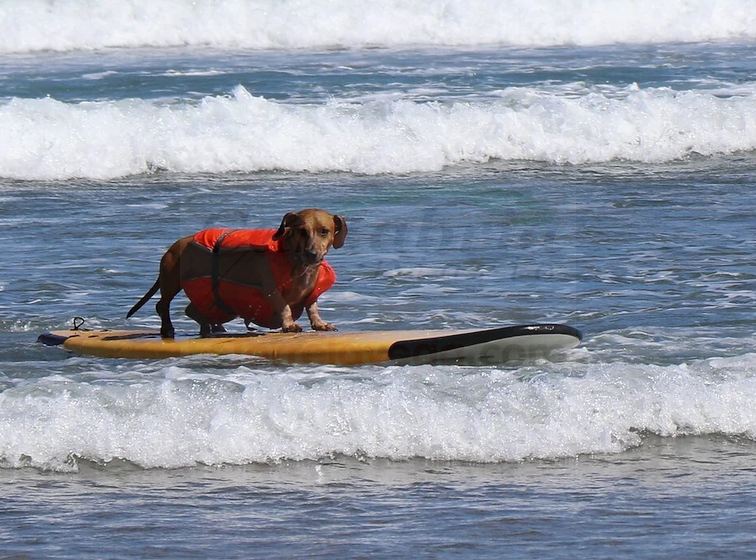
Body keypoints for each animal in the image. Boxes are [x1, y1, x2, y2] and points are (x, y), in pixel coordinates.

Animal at [126, 209, 346, 336]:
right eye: (302, 231)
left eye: (324, 231)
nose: (312, 254)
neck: (295, 260)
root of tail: (174, 245)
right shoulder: (271, 289)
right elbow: (284, 306)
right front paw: (289, 324)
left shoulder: (311, 292)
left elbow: (312, 306)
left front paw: (319, 323)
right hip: (171, 280)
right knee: (162, 305)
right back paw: (169, 328)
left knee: (194, 311)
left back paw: (211, 327)